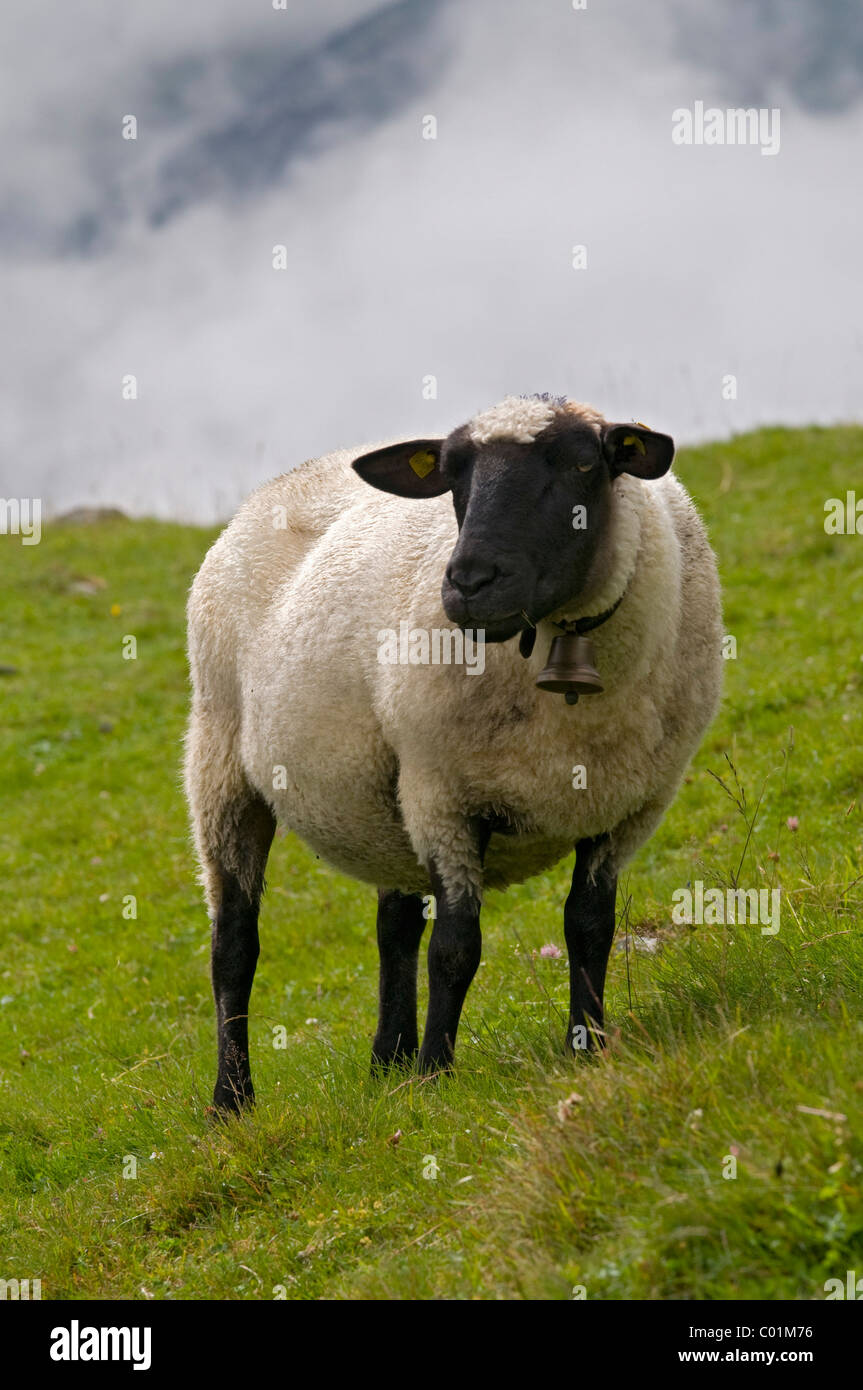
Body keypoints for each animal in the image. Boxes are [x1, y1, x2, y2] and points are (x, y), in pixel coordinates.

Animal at [185, 394, 723, 1112]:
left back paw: (386, 1060)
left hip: (380, 803)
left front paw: (587, 1048)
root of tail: (269, 491)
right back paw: (232, 1100)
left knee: (393, 925)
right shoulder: (441, 794)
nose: (468, 582)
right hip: (220, 762)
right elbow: (455, 947)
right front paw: (435, 1076)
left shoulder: (627, 807)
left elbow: (589, 925)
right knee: (234, 944)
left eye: (584, 463)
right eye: (450, 473)